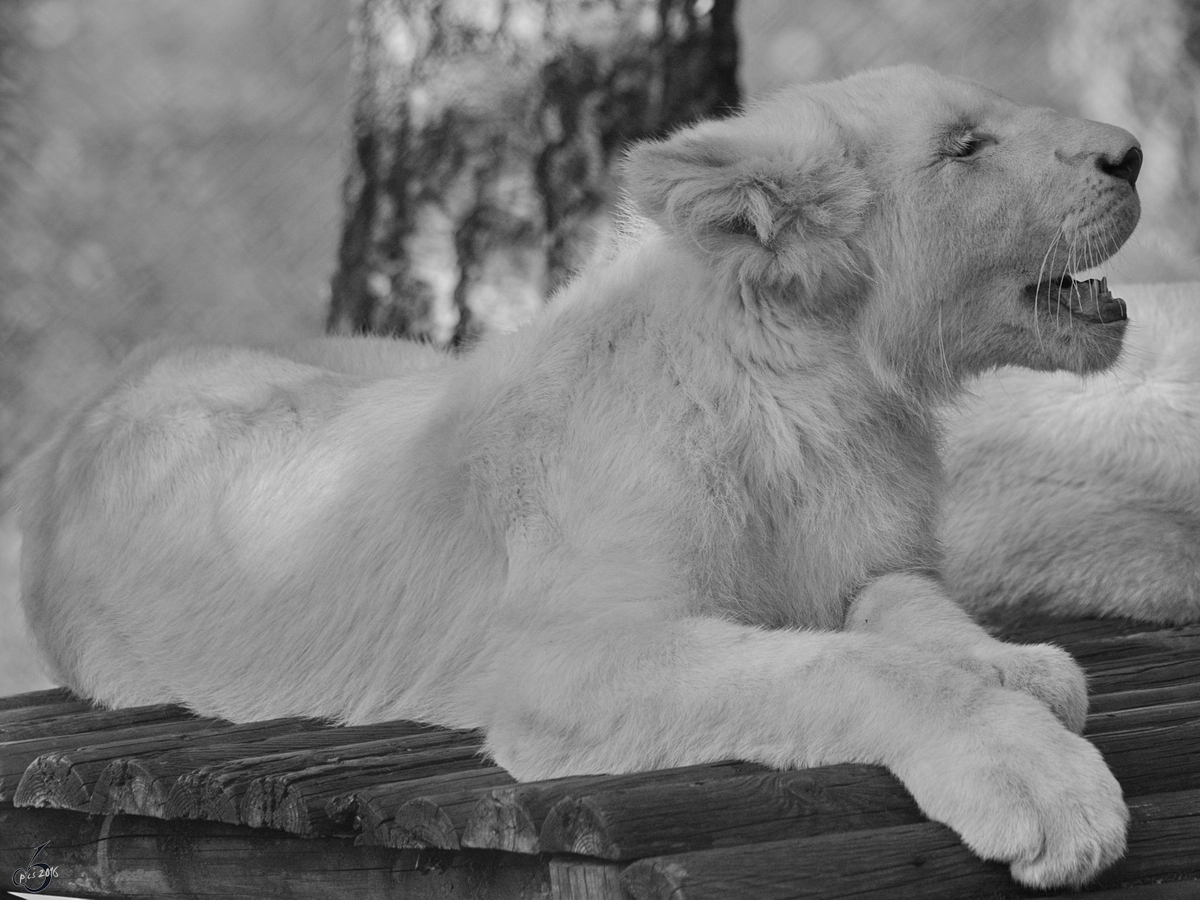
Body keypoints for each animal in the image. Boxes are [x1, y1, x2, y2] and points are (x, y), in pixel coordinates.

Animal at [23, 66, 1137, 892]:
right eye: (965, 147)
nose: (1131, 154)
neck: (821, 396)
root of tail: (94, 399)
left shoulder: (865, 565)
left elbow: (915, 611)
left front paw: (1017, 666)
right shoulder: (564, 659)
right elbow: (850, 668)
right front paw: (1043, 784)